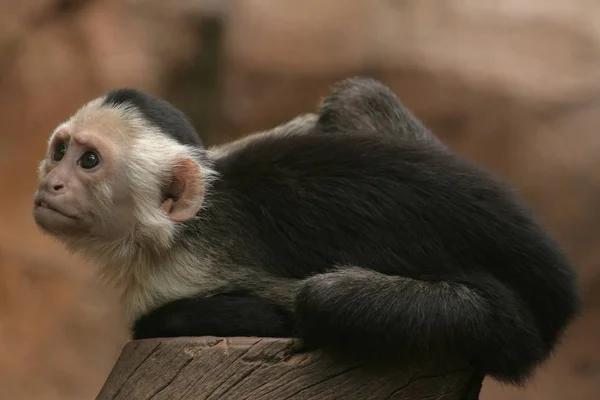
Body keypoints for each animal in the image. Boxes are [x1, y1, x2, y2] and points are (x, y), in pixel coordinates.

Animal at [32, 76, 580, 384]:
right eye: (59, 151)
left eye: (88, 161)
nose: (50, 184)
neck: (181, 228)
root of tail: (558, 284)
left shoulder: (174, 274)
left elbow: (176, 318)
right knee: (358, 93)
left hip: (512, 334)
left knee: (327, 297)